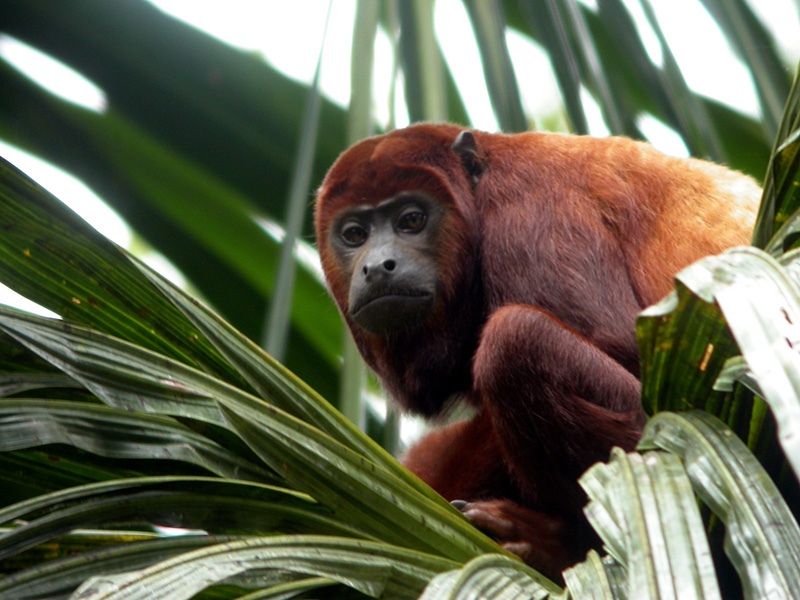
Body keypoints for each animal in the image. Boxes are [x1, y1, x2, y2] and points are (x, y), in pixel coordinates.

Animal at [312, 123, 764, 580]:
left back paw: (564, 549)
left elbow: (625, 349)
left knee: (516, 338)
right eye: (354, 234)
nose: (376, 266)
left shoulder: (531, 214)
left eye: (412, 220)